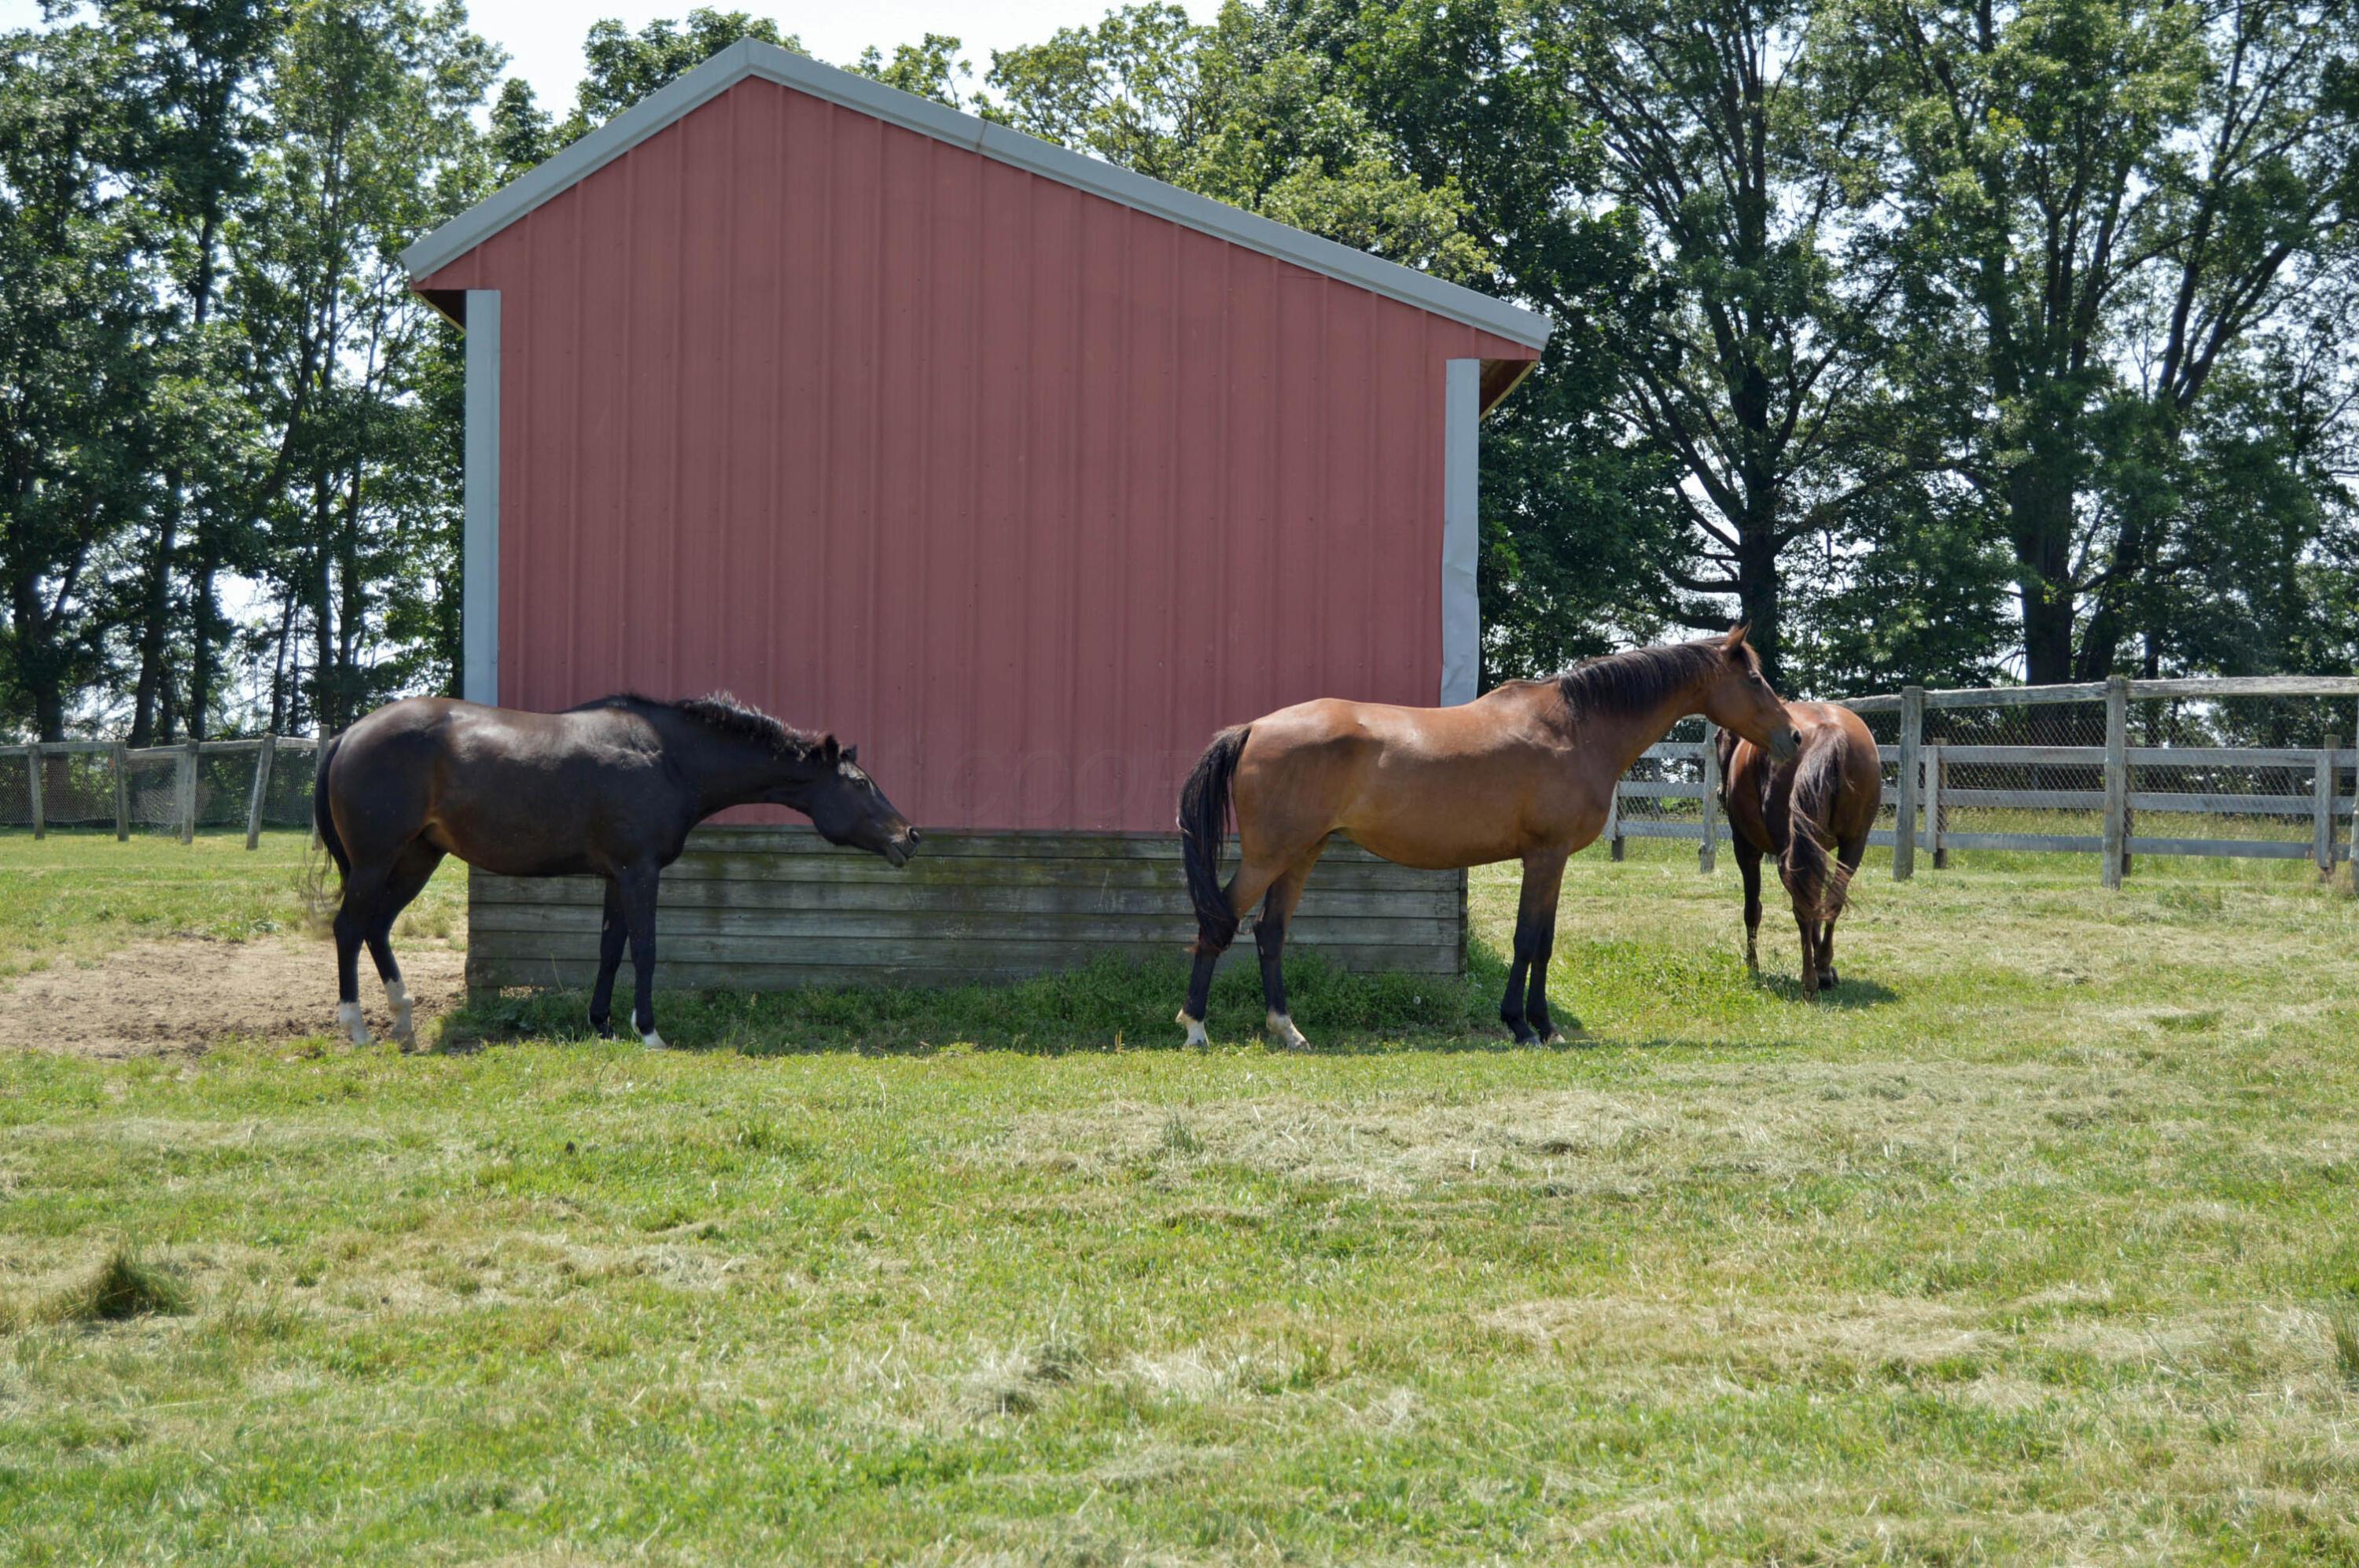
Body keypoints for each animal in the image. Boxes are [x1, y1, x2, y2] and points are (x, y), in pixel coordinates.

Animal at [313, 691, 918, 1049]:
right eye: (859, 783)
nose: (909, 836)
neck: (670, 757)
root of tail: (348, 735)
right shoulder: (638, 871)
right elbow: (645, 950)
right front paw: (647, 1030)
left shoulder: (614, 876)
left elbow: (609, 949)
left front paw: (601, 1023)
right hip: (376, 861)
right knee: (349, 928)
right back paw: (358, 1028)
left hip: (417, 858)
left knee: (376, 928)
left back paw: (404, 1022)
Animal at [1175, 628, 1803, 1049]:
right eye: (1754, 678)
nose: (1794, 736)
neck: (1576, 727)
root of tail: (1253, 728)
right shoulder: (1546, 857)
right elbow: (1530, 941)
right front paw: (1526, 1025)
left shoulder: (1548, 861)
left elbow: (1542, 941)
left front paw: (1539, 1024)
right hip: (1269, 856)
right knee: (1219, 922)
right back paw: (1196, 1027)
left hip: (1302, 854)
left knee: (1269, 932)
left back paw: (1288, 1031)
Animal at [1716, 701, 1880, 996]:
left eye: (1717, 740)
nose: (1721, 794)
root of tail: (1830, 730)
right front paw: (1825, 966)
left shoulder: (1746, 850)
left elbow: (1752, 910)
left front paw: (1752, 965)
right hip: (1853, 844)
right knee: (1832, 898)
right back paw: (1823, 965)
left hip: (1786, 852)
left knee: (1802, 905)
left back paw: (1809, 980)